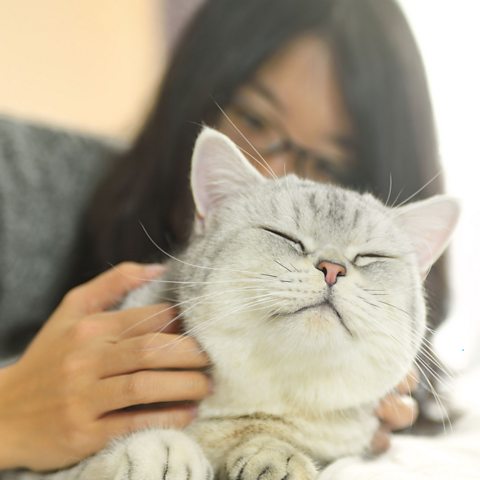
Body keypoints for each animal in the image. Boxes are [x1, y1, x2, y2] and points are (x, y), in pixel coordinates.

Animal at [10, 127, 458, 480]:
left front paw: (273, 458)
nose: (332, 268)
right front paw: (158, 452)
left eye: (370, 257)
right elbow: (86, 465)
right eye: (285, 236)